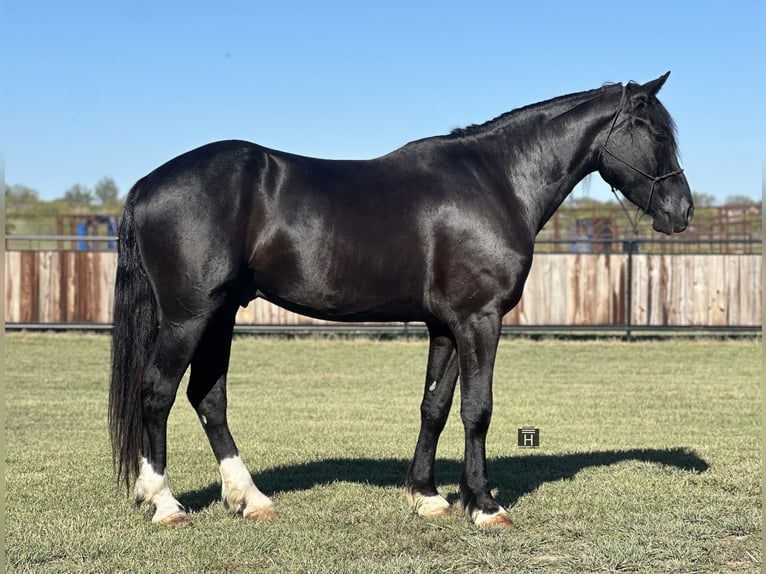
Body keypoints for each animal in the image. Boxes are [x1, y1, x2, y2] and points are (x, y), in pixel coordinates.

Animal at [109, 74, 696, 528]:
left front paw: (428, 496)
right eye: (654, 131)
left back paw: (249, 499)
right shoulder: (479, 320)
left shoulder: (447, 325)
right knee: (157, 394)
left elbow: (434, 405)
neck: (497, 182)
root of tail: (146, 185)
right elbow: (477, 409)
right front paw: (485, 506)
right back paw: (165, 504)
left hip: (221, 315)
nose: (682, 210)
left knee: (208, 398)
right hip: (188, 317)